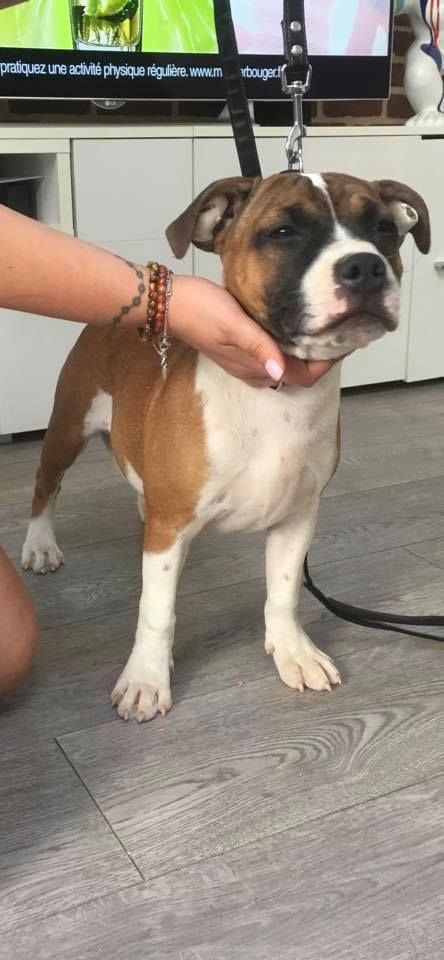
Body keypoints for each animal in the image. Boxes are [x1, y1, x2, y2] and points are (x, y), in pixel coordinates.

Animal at [22, 171, 430, 722]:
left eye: (383, 229)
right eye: (283, 232)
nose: (364, 265)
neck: (279, 397)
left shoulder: (296, 517)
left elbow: (284, 593)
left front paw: (294, 651)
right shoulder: (171, 526)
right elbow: (158, 612)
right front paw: (146, 678)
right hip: (68, 426)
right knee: (47, 485)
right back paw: (40, 544)